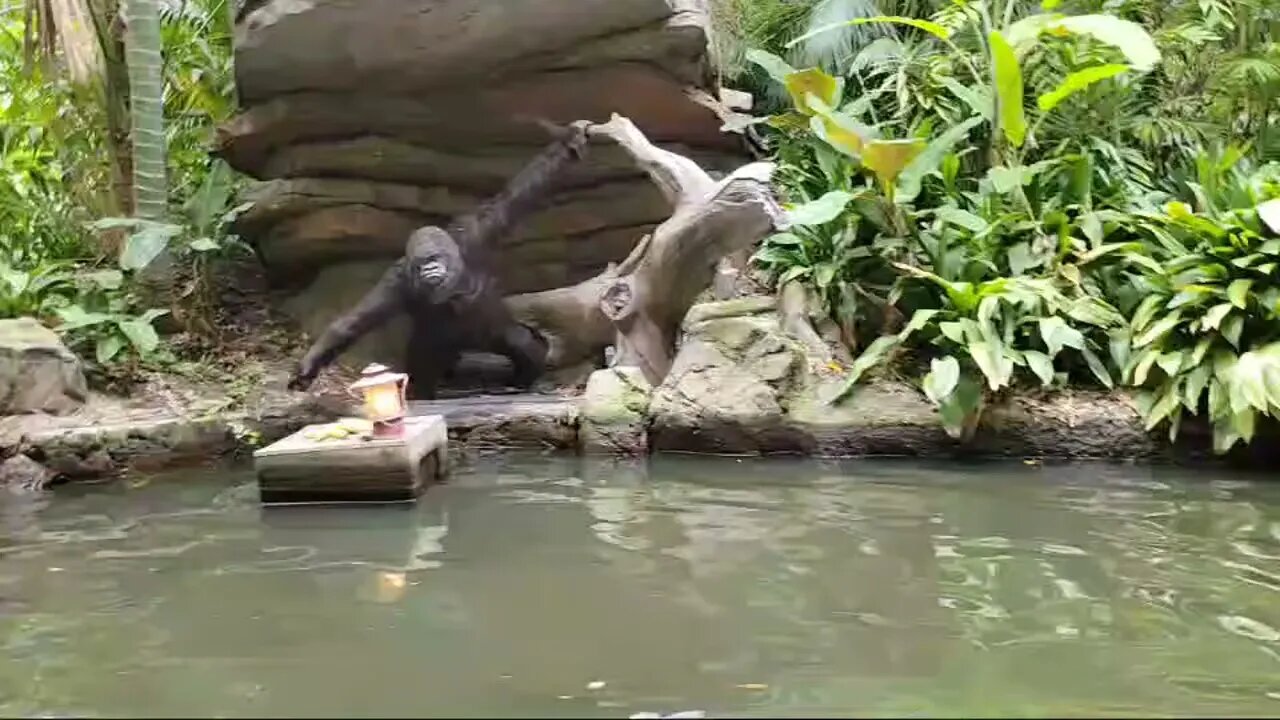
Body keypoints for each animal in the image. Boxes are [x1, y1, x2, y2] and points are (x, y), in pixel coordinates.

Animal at [285, 119, 593, 394]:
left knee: (520, 342)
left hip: (493, 335)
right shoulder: (396, 282)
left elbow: (521, 193)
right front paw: (309, 364)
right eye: (421, 263)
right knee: (425, 362)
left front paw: (570, 143)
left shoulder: (478, 232)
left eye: (434, 257)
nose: (431, 268)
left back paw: (523, 379)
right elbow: (354, 322)